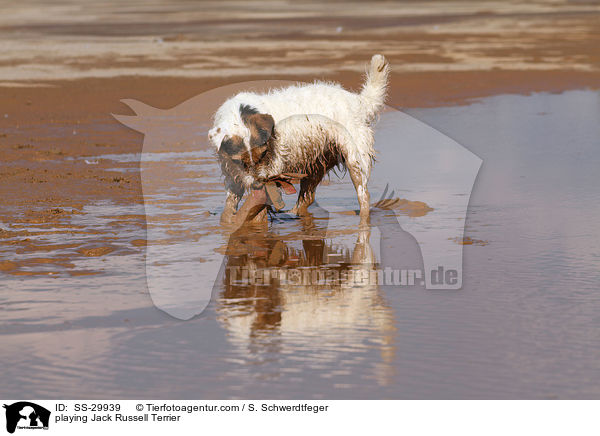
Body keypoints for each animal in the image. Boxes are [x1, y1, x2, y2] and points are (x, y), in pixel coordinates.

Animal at [210, 54, 390, 225]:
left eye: (263, 154)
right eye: (239, 161)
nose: (258, 184)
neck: (240, 113)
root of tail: (358, 101)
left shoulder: (272, 171)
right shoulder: (233, 174)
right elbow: (229, 207)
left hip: (354, 158)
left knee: (363, 196)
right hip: (315, 165)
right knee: (307, 198)